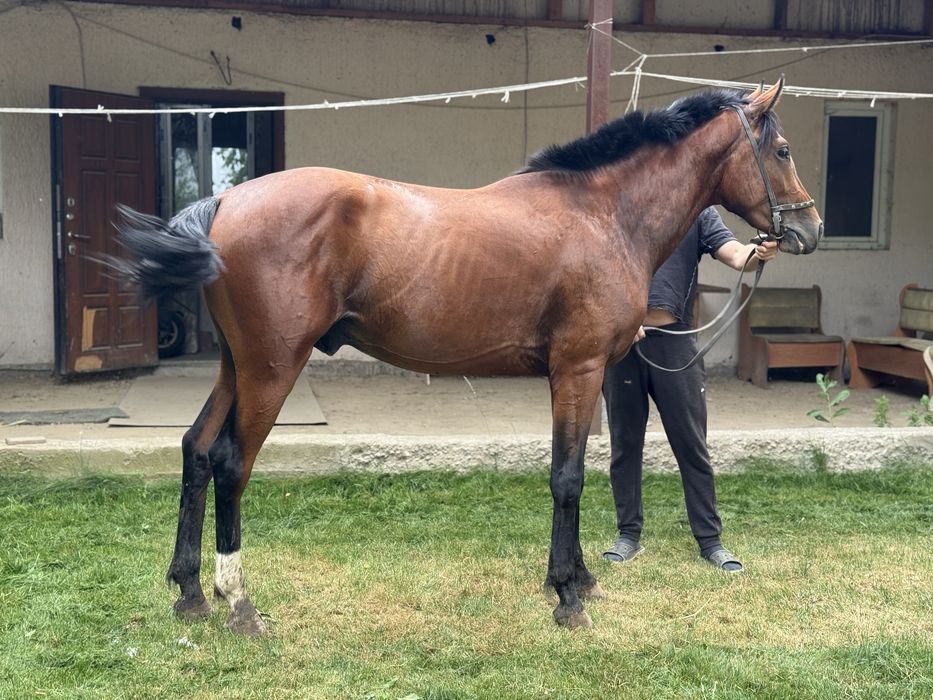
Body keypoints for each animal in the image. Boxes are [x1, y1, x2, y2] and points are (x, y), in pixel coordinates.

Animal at [110, 78, 822, 635]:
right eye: (783, 150)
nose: (809, 228)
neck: (603, 214)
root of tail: (227, 200)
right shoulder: (578, 369)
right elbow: (567, 478)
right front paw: (567, 597)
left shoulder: (583, 376)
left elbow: (574, 474)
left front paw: (579, 579)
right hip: (273, 369)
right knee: (231, 463)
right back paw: (239, 603)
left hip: (238, 367)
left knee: (197, 450)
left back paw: (191, 594)